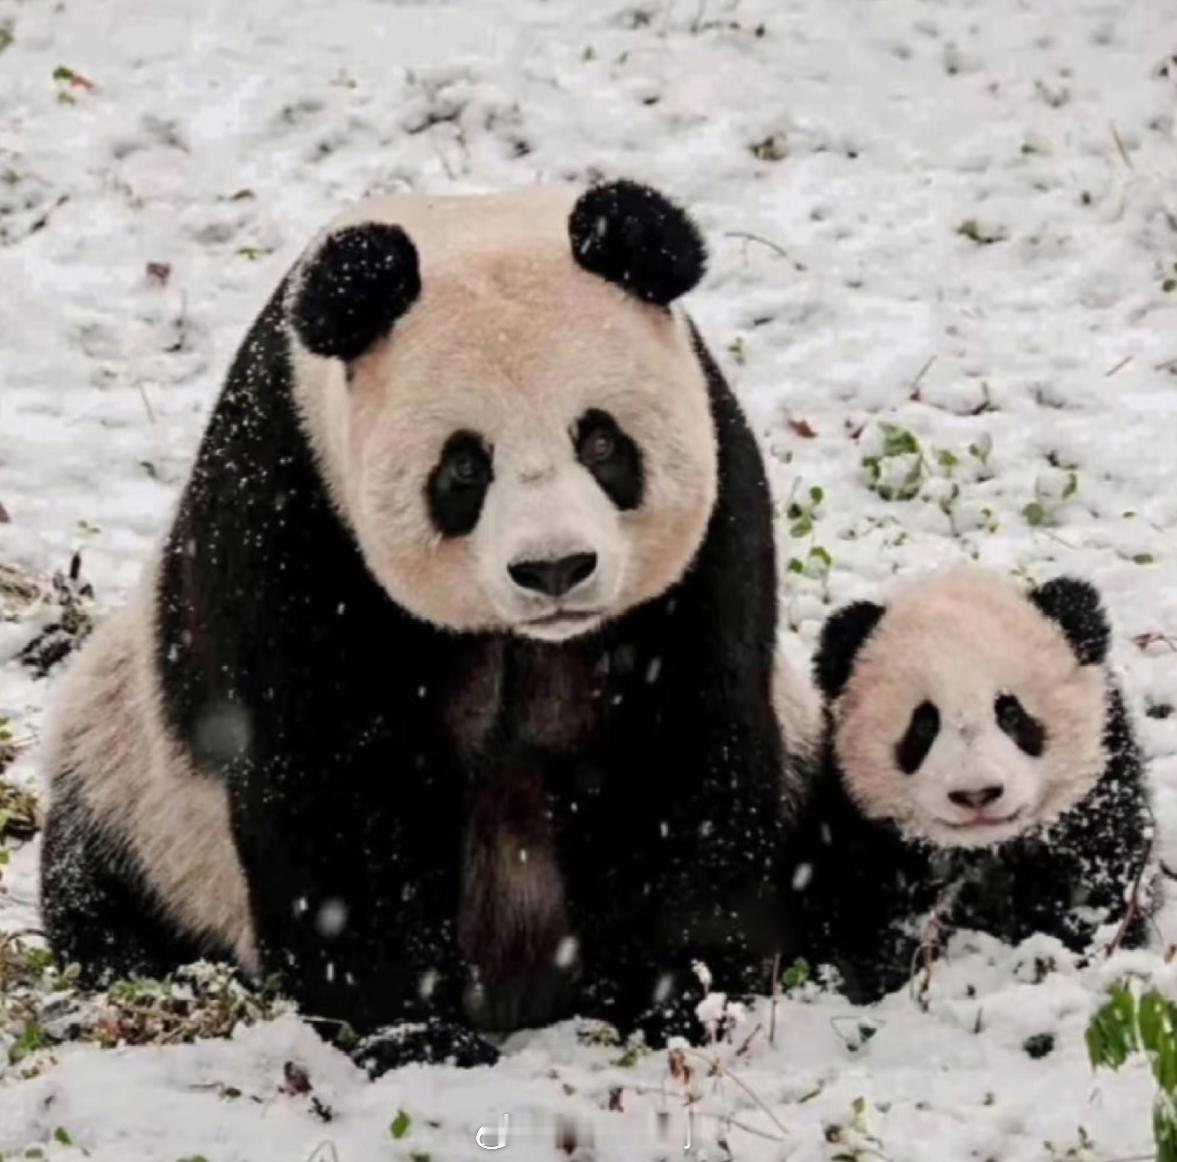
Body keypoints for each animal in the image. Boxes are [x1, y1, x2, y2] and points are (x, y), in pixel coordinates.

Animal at [43, 181, 800, 1073]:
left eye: (601, 441)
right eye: (465, 467)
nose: (554, 570)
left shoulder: (707, 540)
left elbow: (675, 754)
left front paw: (675, 999)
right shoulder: (296, 510)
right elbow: (339, 786)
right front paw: (415, 1035)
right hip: (129, 787)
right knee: (100, 890)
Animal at [786, 569, 1153, 998]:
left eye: (1010, 713)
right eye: (924, 725)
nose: (976, 793)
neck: (984, 850)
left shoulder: (1099, 806)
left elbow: (1100, 892)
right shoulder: (857, 834)